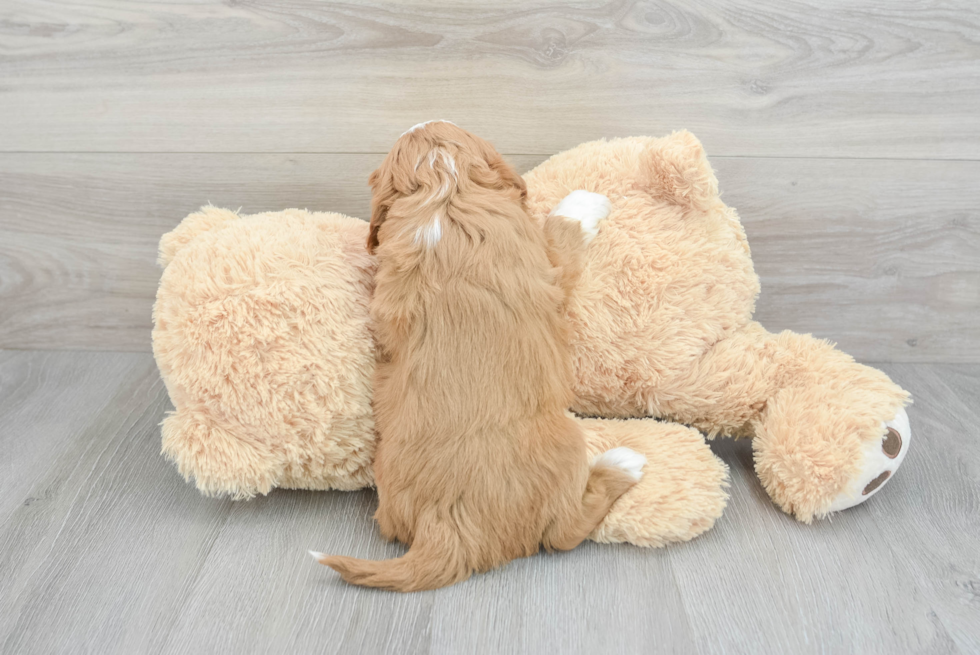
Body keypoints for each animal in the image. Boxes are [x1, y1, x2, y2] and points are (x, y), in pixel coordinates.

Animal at [308, 120, 644, 592]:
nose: (421, 121)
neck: (443, 190)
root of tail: (443, 527)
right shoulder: (550, 268)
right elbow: (562, 232)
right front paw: (585, 201)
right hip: (565, 447)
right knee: (565, 532)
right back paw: (623, 464)